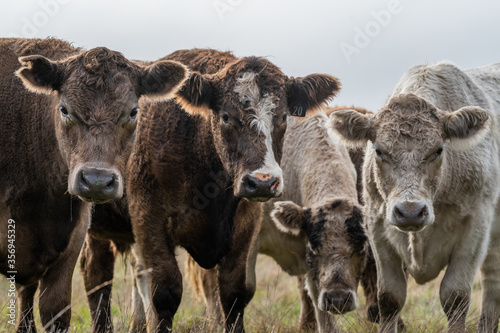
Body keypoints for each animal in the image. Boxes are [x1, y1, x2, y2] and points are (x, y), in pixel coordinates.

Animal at [330, 61, 500, 330]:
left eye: (438, 150)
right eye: (379, 150)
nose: (410, 212)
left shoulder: (476, 228)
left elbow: (456, 297)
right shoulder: (377, 226)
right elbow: (389, 298)